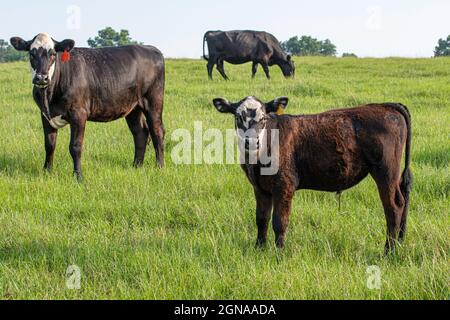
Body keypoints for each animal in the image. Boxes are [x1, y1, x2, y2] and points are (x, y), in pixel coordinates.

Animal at [10, 34, 165, 182]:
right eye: (31, 53)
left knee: (157, 132)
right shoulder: (45, 114)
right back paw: (136, 166)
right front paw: (47, 172)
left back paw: (159, 167)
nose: (41, 78)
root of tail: (151, 48)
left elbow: (75, 146)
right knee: (140, 132)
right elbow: (49, 145)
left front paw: (78, 176)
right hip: (133, 107)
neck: (49, 97)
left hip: (153, 101)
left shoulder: (78, 113)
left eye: (53, 54)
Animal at [213, 96, 414, 254]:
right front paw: (259, 249)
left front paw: (279, 253)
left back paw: (389, 251)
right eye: (238, 117)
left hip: (386, 172)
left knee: (393, 206)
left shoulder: (284, 185)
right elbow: (261, 219)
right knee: (403, 200)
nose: (251, 141)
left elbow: (279, 221)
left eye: (263, 118)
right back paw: (399, 243)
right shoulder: (260, 188)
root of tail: (385, 105)